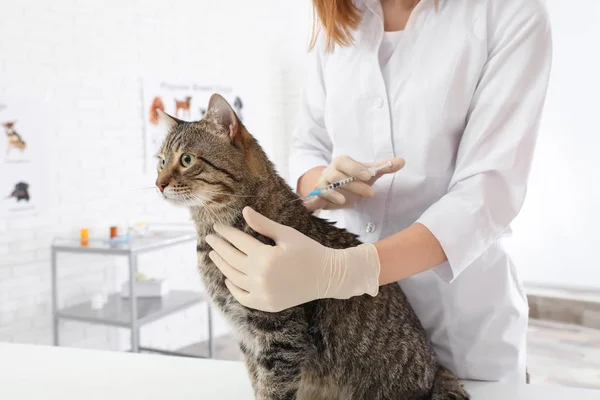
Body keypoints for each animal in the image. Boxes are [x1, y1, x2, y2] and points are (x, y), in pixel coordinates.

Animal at [155, 94, 468, 400]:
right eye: (160, 161)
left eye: (186, 159)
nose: (158, 184)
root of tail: (437, 370)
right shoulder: (247, 340)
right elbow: (257, 382)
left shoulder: (280, 335)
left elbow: (272, 389)